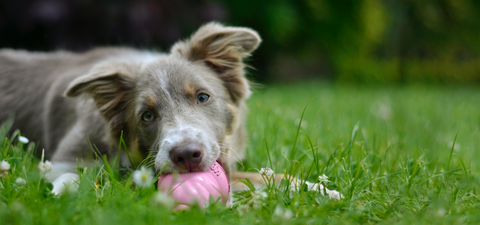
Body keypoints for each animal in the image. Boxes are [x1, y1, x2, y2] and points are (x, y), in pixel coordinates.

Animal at [0, 22, 342, 199]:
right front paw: (64, 191)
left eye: (203, 97)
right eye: (147, 116)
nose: (186, 155)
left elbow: (265, 176)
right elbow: (77, 175)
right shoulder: (63, 158)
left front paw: (317, 189)